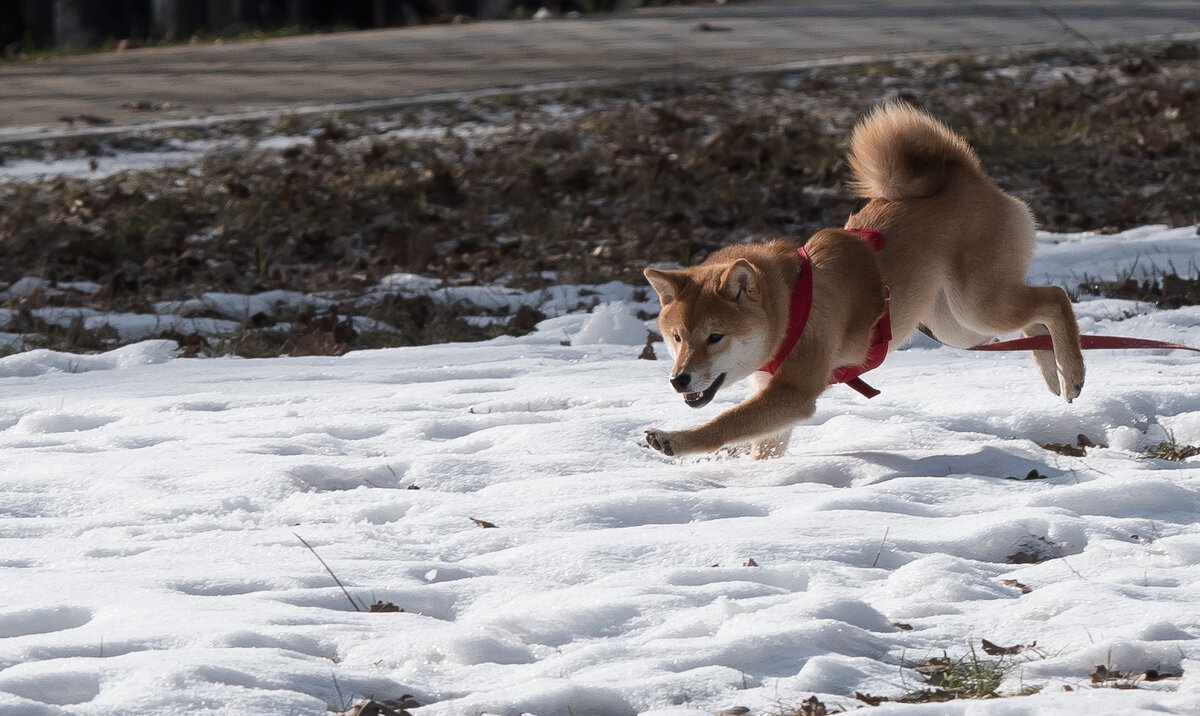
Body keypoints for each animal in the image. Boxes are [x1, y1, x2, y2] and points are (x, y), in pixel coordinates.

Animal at [648, 100, 1089, 458]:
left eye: (715, 337)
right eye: (677, 338)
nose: (678, 379)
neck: (789, 304)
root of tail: (968, 176)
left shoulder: (793, 392)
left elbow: (725, 424)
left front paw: (675, 440)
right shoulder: (774, 394)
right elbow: (765, 443)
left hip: (976, 305)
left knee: (1054, 297)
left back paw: (1071, 371)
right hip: (959, 326)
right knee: (1033, 319)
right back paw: (1050, 369)